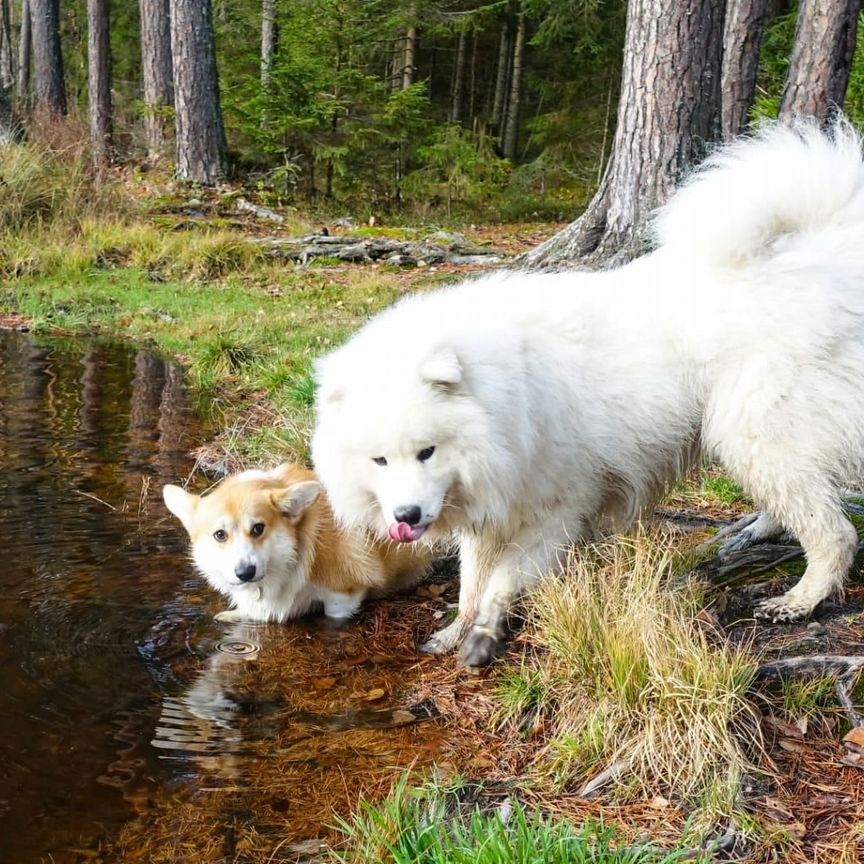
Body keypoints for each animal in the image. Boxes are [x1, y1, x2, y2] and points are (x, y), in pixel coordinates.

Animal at [314, 118, 864, 664]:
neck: (507, 400)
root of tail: (825, 255)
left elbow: (502, 579)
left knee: (835, 532)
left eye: (427, 452)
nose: (405, 517)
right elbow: (472, 579)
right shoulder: (494, 509)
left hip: (755, 431)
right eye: (380, 461)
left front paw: (486, 631)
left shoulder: (557, 510)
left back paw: (799, 600)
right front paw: (456, 629)